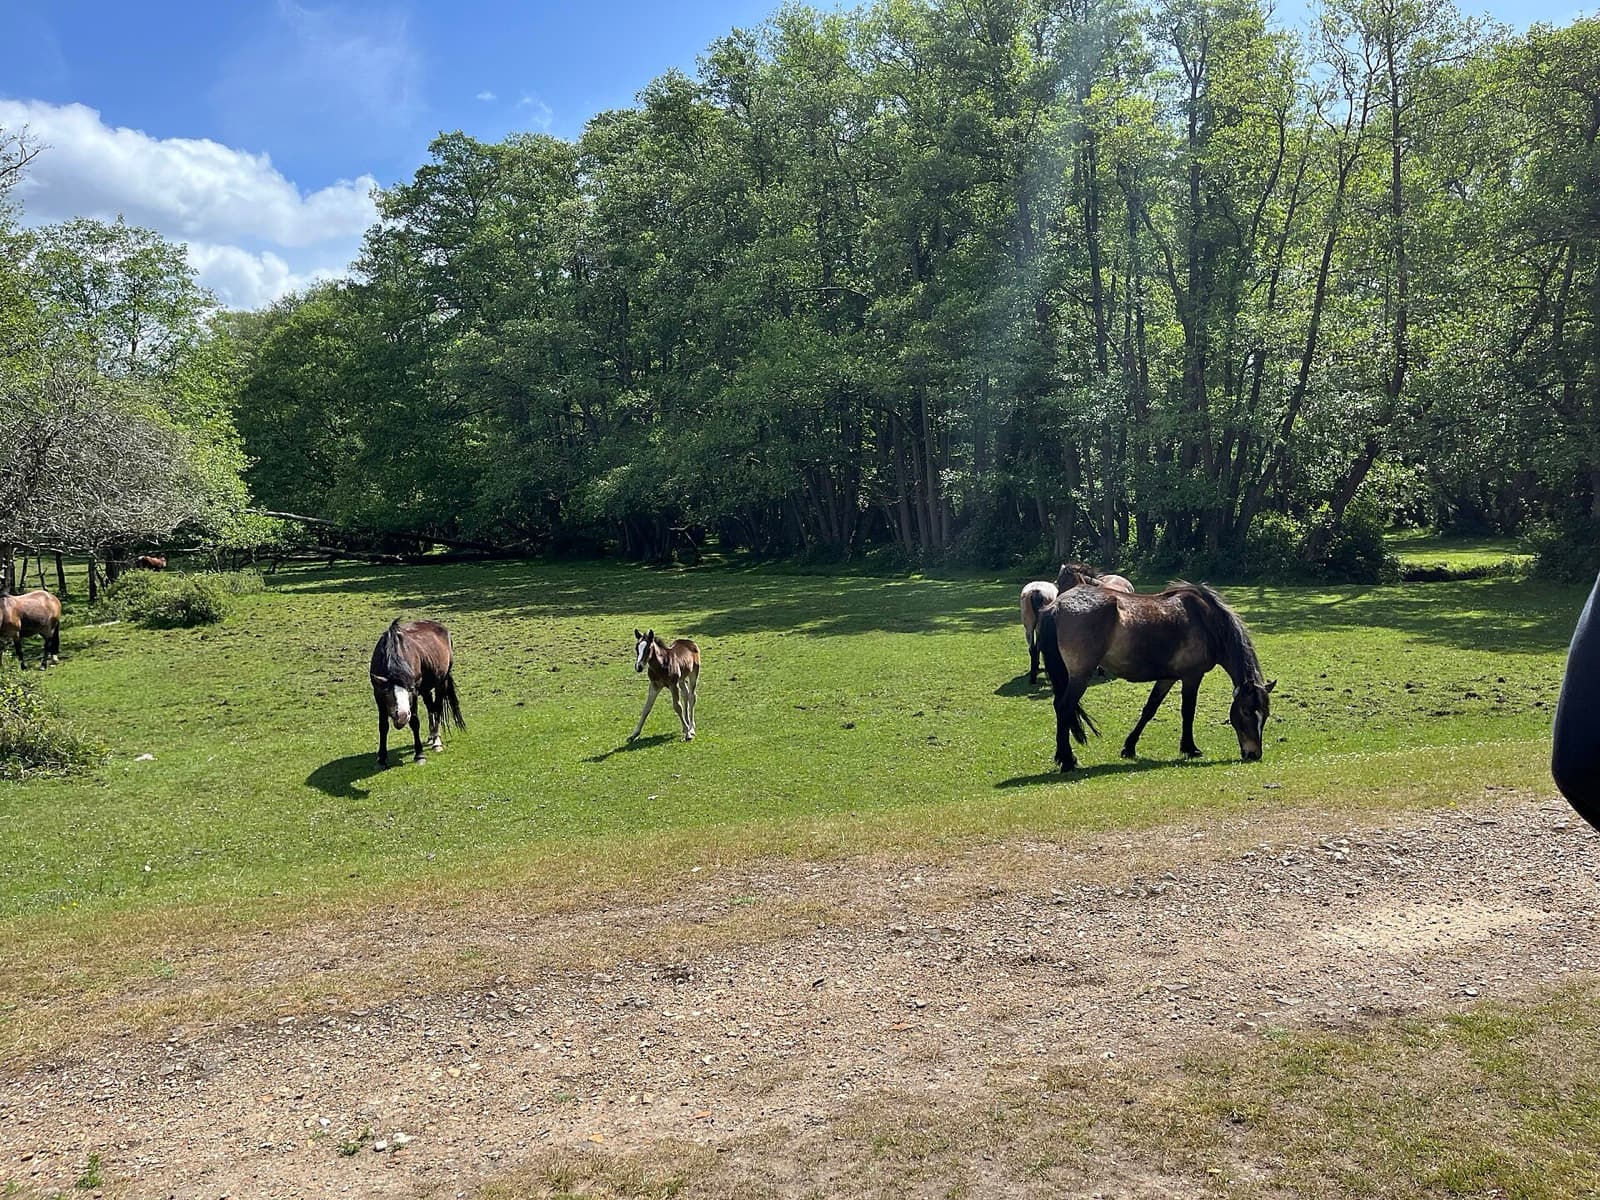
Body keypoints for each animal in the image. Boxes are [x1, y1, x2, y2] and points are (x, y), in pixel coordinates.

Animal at [368, 619, 464, 766]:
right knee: (431, 708)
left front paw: (419, 755)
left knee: (437, 708)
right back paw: (431, 736)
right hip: (426, 689)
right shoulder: (378, 694)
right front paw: (382, 758)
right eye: (387, 693)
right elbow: (383, 726)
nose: (402, 717)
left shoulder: (415, 694)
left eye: (410, 690)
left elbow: (414, 722)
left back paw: (436, 741)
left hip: (441, 682)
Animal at [1037, 581, 1275, 772]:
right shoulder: (1192, 676)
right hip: (1080, 675)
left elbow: (1150, 709)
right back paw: (1067, 760)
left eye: (1265, 714)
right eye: (1246, 711)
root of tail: (1057, 606)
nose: (1254, 754)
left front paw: (1129, 747)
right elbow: (1188, 711)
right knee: (1064, 707)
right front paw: (1190, 748)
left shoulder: (1168, 677)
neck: (1207, 621)